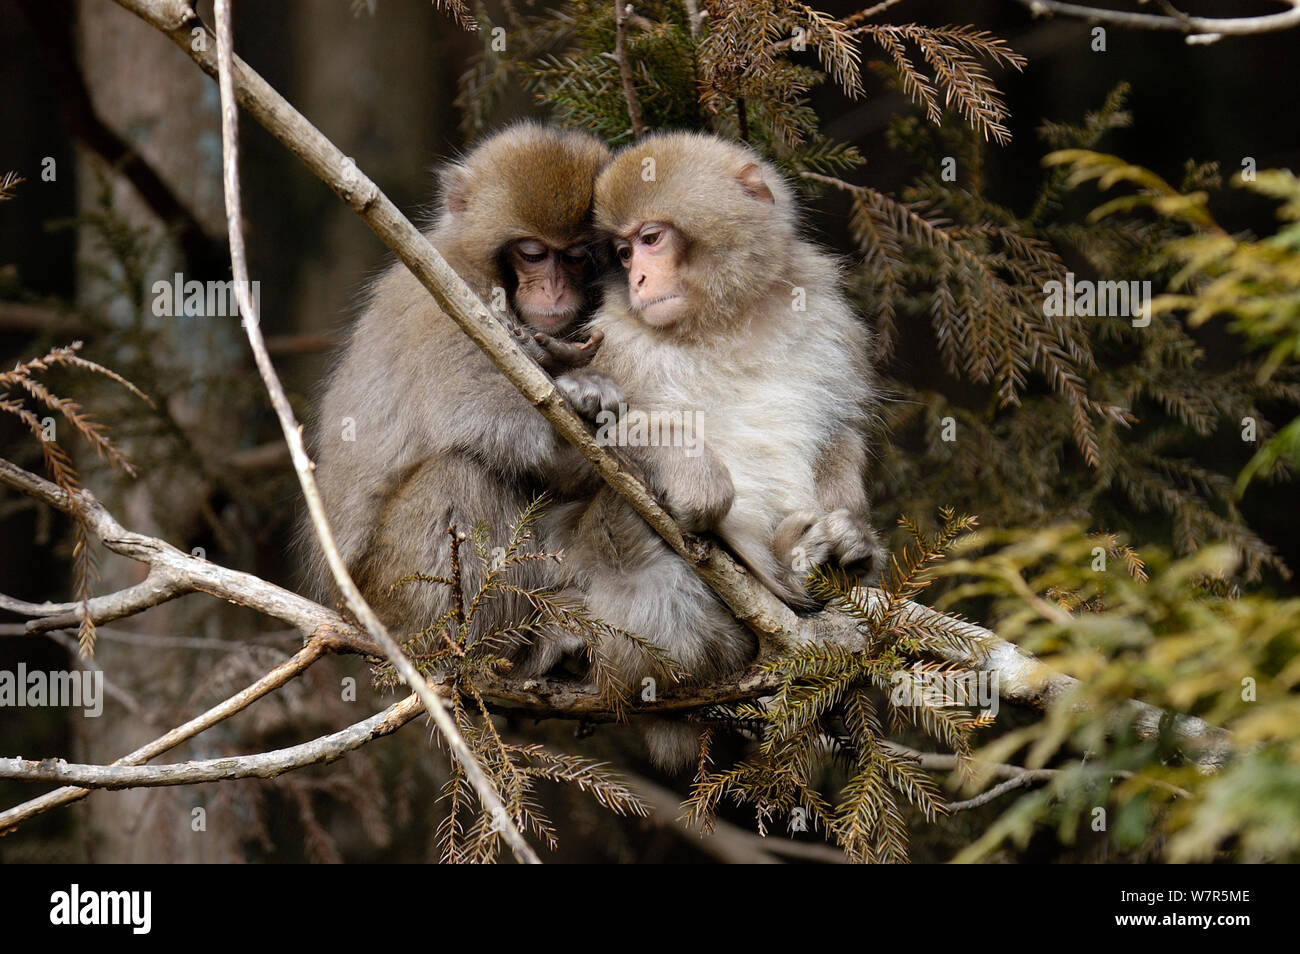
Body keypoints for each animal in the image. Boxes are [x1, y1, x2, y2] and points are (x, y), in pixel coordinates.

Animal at [309, 121, 624, 665]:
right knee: (461, 473)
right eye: (533, 253)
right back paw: (478, 644)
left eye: (577, 256)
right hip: (394, 591)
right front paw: (584, 407)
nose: (554, 291)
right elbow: (473, 406)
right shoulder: (447, 297)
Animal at [548, 132, 883, 769]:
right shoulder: (616, 338)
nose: (638, 280)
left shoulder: (825, 314)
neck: (724, 321)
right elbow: (580, 453)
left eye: (651, 239)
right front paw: (699, 486)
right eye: (622, 253)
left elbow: (841, 429)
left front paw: (851, 538)